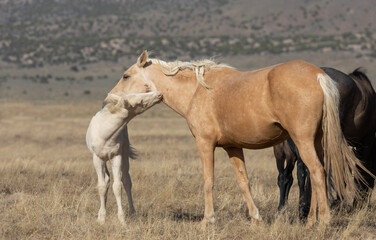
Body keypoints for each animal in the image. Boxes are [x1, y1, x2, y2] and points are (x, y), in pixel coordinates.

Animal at [86, 91, 162, 224]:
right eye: (140, 101)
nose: (159, 94)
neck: (106, 134)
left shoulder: (117, 156)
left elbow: (117, 186)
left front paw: (122, 220)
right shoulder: (97, 159)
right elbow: (101, 187)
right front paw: (101, 219)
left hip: (125, 155)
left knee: (126, 181)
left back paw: (132, 212)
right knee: (107, 180)